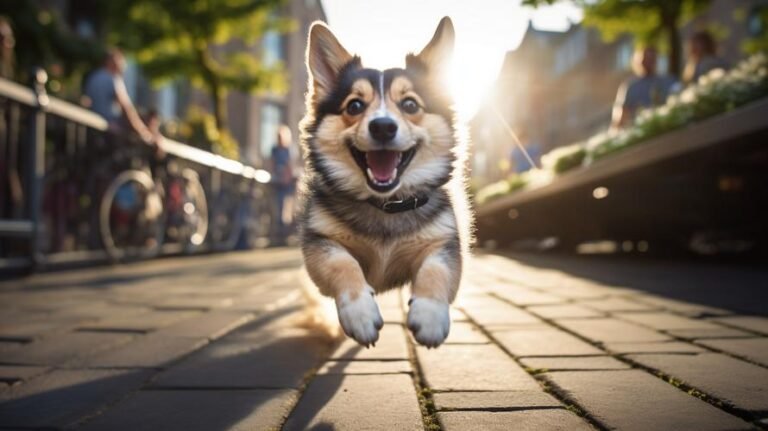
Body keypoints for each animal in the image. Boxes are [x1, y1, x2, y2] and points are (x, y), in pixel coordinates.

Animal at [296, 16, 472, 350]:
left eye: (410, 105)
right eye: (354, 106)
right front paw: (360, 313)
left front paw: (430, 315)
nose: (382, 127)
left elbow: (436, 269)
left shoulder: (444, 243)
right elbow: (342, 264)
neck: (386, 204)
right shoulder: (320, 243)